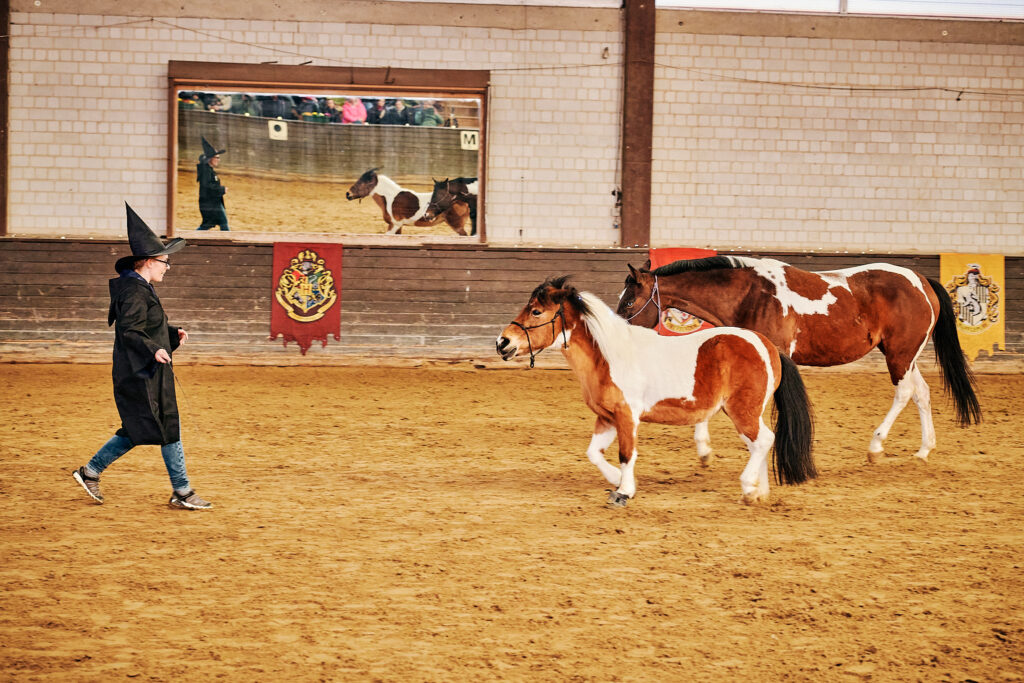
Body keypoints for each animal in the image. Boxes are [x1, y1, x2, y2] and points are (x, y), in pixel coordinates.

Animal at [496, 276, 816, 507]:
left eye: (536, 311)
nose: (503, 343)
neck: (607, 356)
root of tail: (767, 346)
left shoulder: (627, 416)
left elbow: (627, 453)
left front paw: (624, 491)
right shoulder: (607, 417)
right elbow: (594, 453)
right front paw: (616, 480)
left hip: (742, 410)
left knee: (764, 440)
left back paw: (749, 489)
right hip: (747, 411)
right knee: (759, 443)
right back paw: (759, 493)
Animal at [616, 256, 981, 464]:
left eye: (629, 303)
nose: (617, 332)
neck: (749, 294)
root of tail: (921, 282)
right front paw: (705, 451)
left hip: (900, 356)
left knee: (905, 393)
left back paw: (876, 447)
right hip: (905, 356)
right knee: (922, 394)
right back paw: (924, 450)